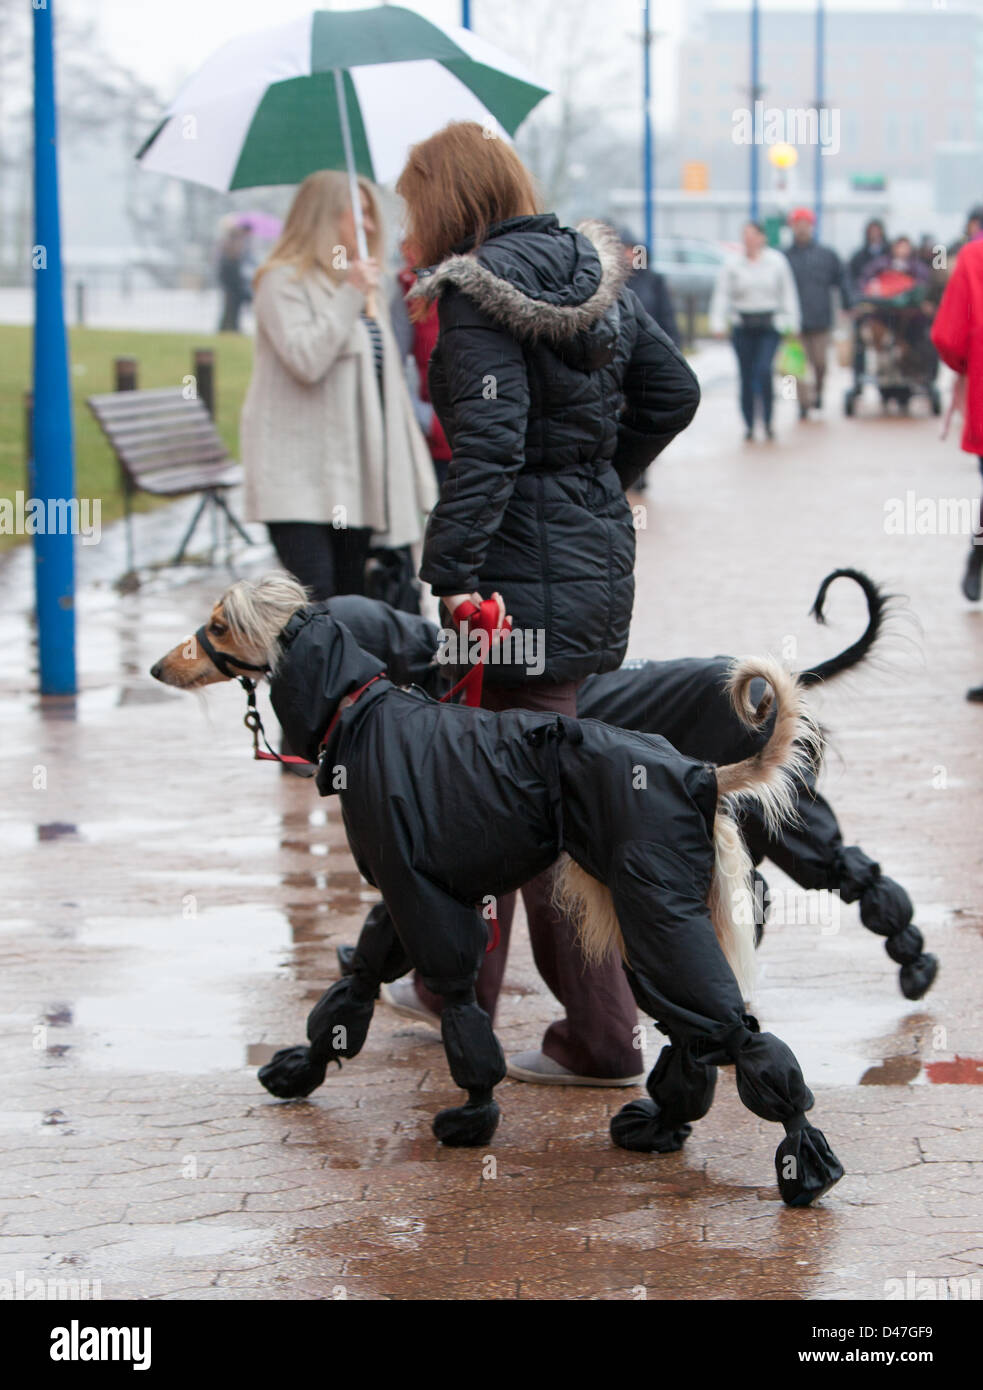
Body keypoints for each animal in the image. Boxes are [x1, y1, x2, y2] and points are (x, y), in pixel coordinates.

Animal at [153, 575, 845, 1206]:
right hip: (655, 910)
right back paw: (663, 1126)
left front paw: (473, 1115)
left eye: (217, 626)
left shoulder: (418, 892)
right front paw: (304, 1067)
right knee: (694, 1032)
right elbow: (360, 981)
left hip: (656, 906)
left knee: (732, 1032)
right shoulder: (405, 895)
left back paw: (801, 1157)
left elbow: (458, 1006)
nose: (160, 669)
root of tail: (700, 771)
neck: (361, 710)